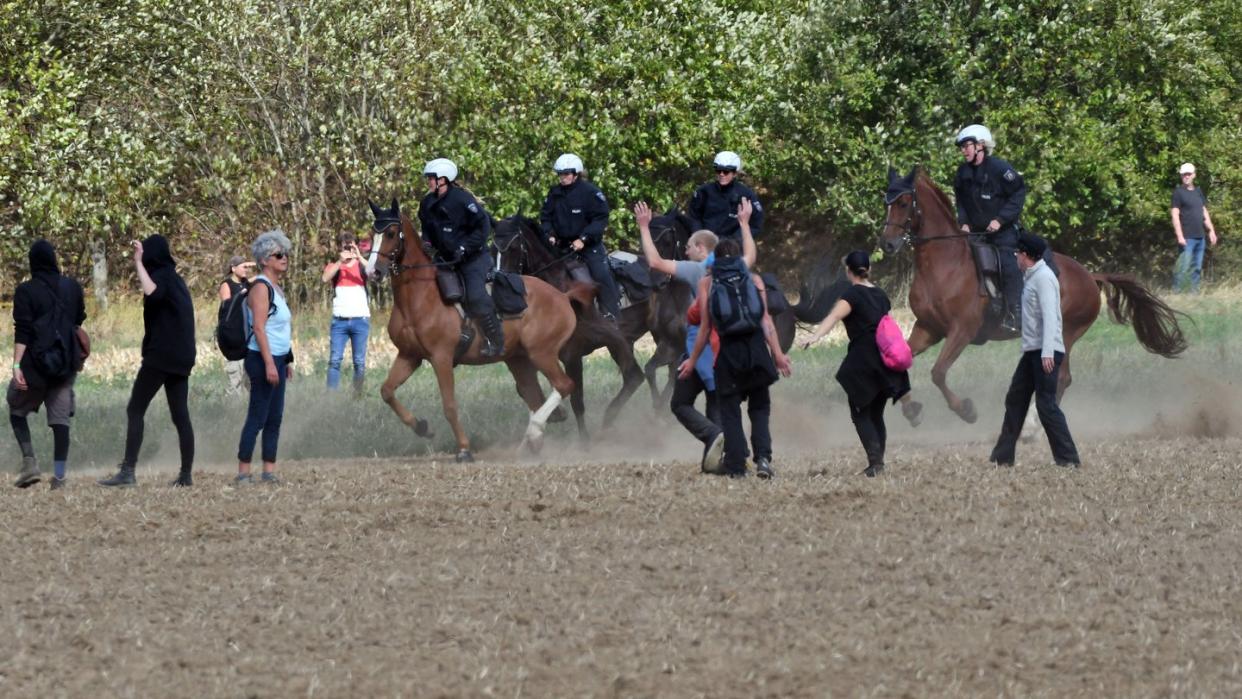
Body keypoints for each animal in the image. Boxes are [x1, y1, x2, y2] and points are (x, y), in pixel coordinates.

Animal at [367, 198, 581, 459]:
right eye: (372, 234)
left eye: (390, 233)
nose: (373, 271)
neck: (419, 296)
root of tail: (562, 296)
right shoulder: (409, 356)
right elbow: (387, 391)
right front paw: (421, 427)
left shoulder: (441, 357)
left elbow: (449, 406)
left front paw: (464, 449)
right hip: (518, 360)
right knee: (534, 396)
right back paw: (531, 443)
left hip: (542, 353)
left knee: (563, 385)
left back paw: (535, 431)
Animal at [491, 216, 645, 439]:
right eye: (492, 249)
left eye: (512, 247)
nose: (499, 283)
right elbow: (525, 387)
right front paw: (555, 415)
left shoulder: (572, 355)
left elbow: (576, 400)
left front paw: (583, 441)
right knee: (635, 377)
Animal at [879, 167, 1187, 427]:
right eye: (886, 202)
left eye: (904, 203)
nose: (888, 244)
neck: (945, 263)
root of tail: (1090, 276)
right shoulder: (928, 328)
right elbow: (901, 361)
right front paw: (912, 410)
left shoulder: (962, 330)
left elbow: (938, 372)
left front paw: (966, 410)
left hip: (1065, 333)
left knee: (1061, 378)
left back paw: (1036, 427)